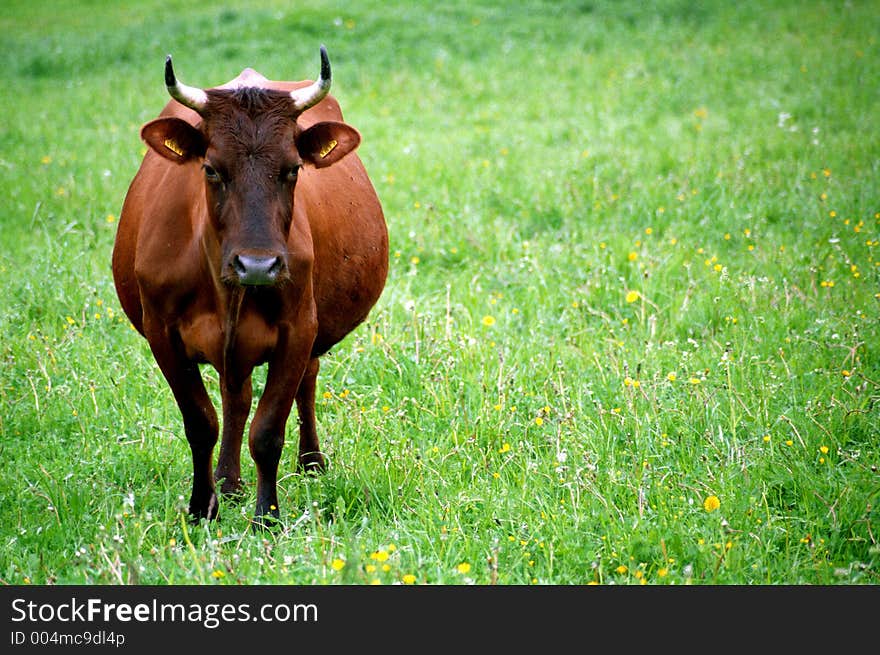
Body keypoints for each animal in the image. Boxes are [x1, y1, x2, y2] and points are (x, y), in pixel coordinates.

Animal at [111, 46, 386, 528]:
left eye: (293, 169)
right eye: (211, 169)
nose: (258, 264)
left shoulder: (298, 330)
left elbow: (268, 431)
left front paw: (267, 517)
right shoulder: (162, 333)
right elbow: (201, 423)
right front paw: (202, 507)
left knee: (303, 383)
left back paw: (309, 462)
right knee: (234, 398)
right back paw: (228, 482)